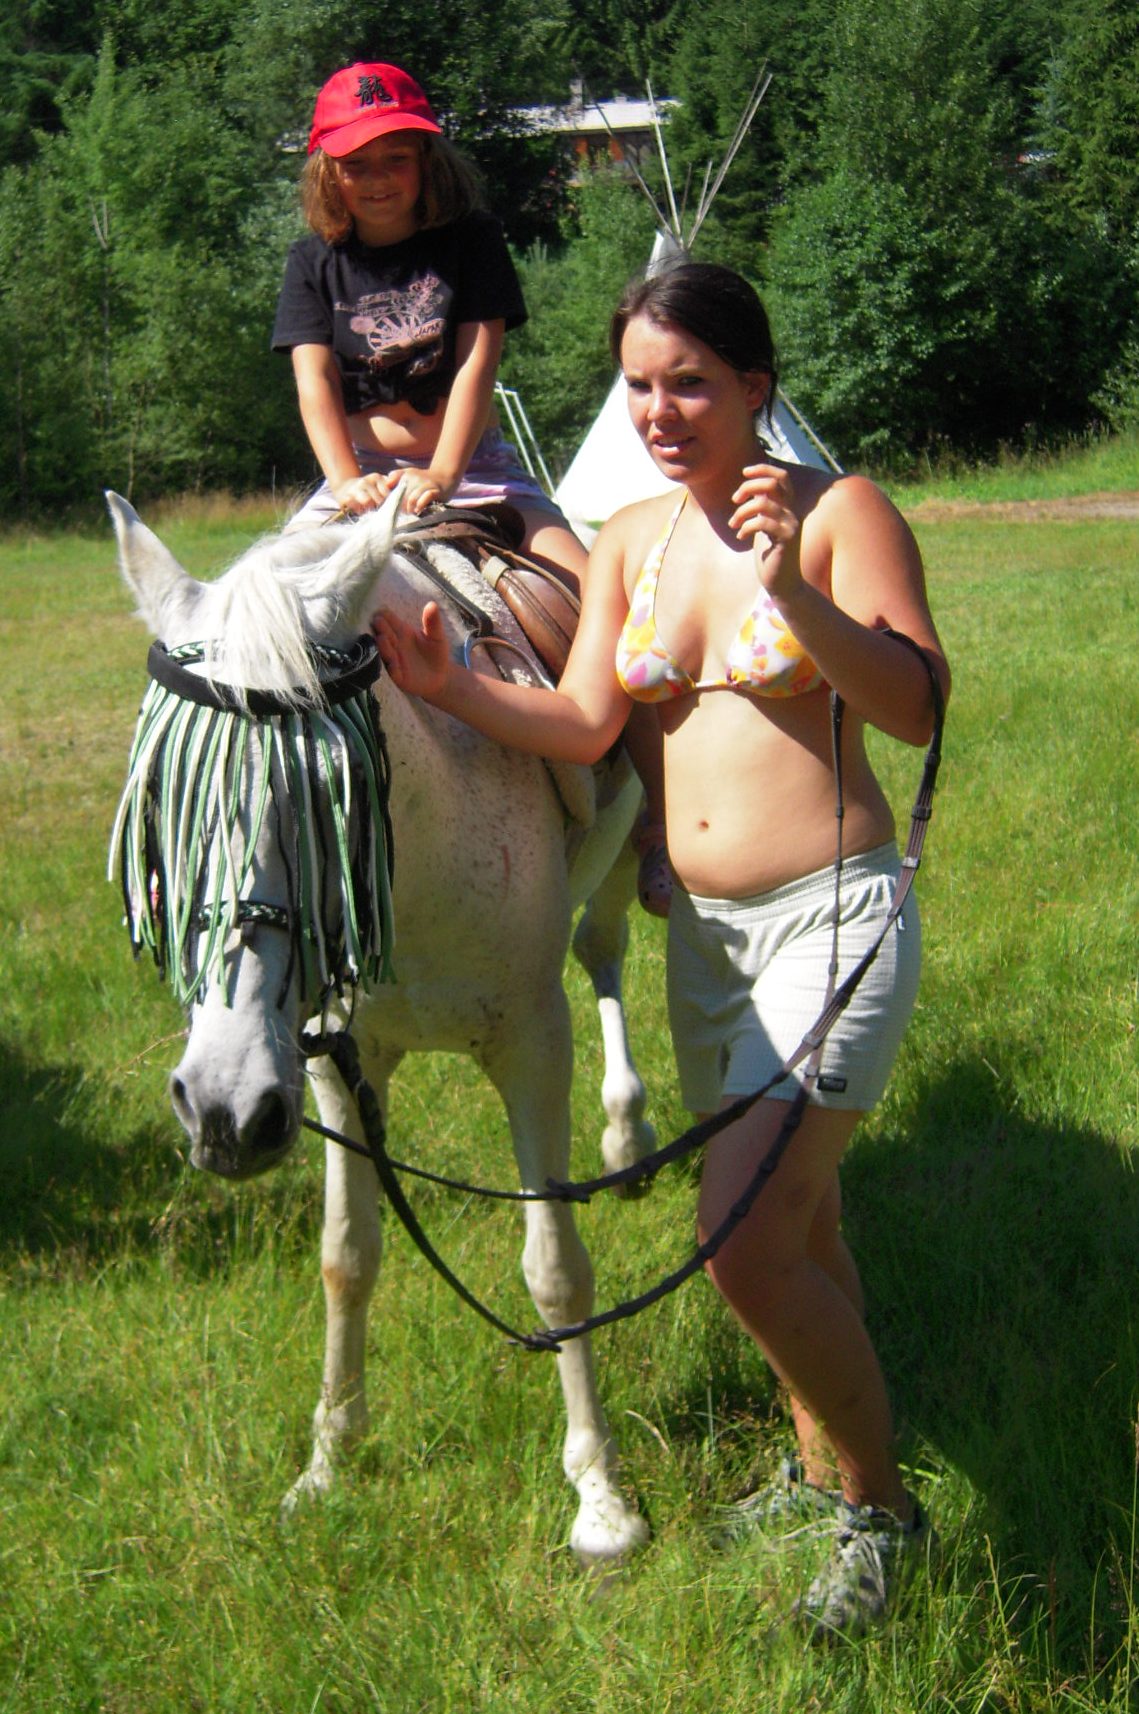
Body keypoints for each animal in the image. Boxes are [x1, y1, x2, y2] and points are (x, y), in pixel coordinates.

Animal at [107, 485, 653, 1562]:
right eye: (162, 804)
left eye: (328, 797)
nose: (218, 1111)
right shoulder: (326, 1067)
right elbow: (345, 1260)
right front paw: (326, 1463)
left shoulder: (534, 1045)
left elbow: (555, 1271)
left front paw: (599, 1495)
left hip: (619, 866)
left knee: (608, 955)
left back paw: (628, 1132)